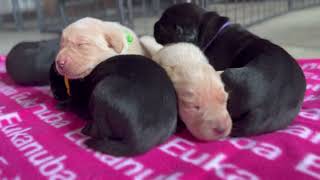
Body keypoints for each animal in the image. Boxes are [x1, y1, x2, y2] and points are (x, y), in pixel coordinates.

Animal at [51, 54, 179, 156]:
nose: (54, 95)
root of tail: (139, 140)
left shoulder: (82, 104)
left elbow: (73, 104)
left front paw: (62, 104)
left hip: (101, 90)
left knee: (102, 133)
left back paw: (86, 129)